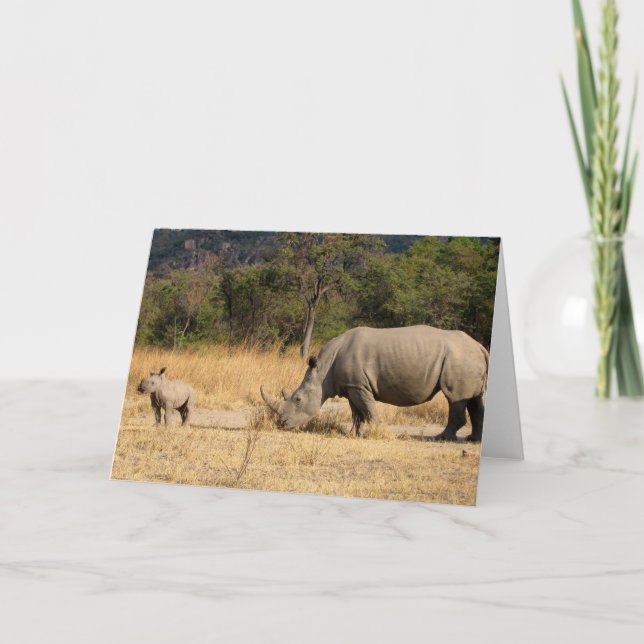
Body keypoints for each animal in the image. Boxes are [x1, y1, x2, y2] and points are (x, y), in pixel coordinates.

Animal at [261, 325, 489, 441]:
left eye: (298, 399)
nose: (281, 424)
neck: (322, 371)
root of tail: (480, 346)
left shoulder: (359, 385)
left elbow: (369, 410)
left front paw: (379, 433)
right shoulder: (352, 385)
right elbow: (357, 413)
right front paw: (355, 435)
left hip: (459, 358)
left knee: (455, 397)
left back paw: (442, 438)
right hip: (467, 358)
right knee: (475, 399)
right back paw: (473, 439)